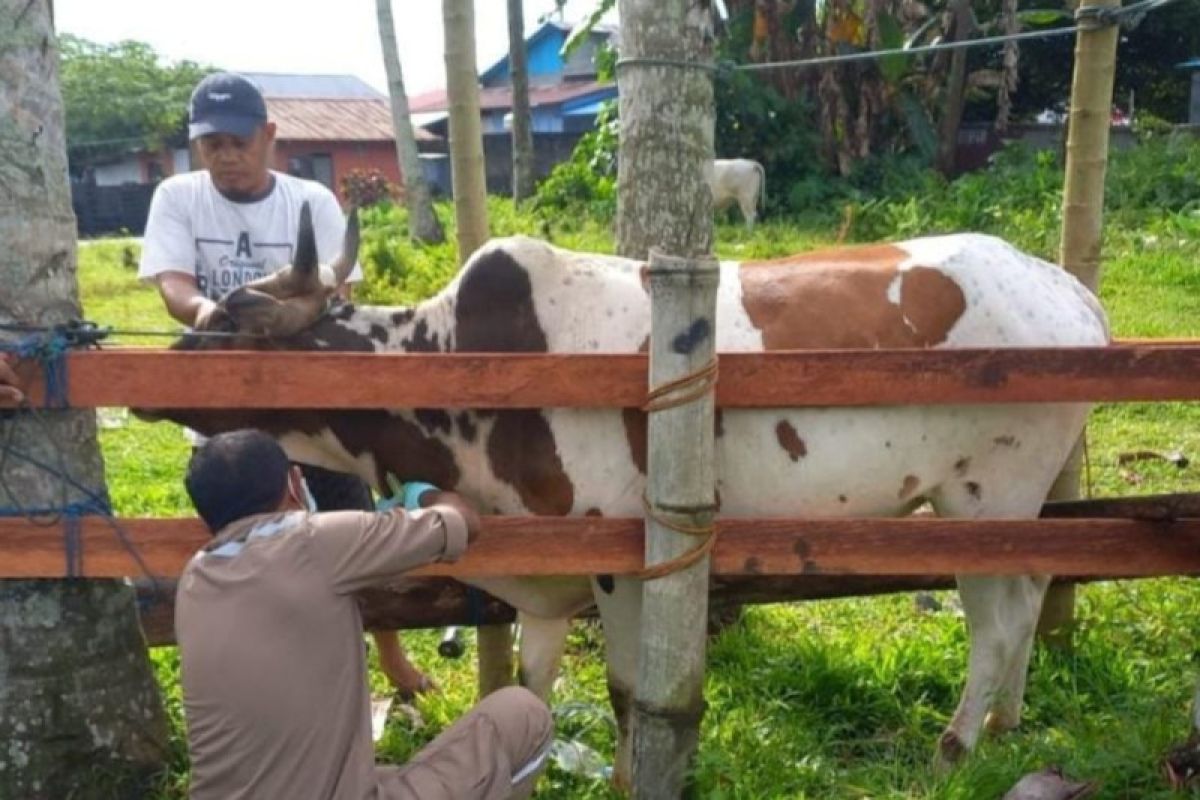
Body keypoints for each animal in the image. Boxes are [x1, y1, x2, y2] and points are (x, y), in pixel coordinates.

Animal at [147, 203, 1104, 786]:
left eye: (230, 323)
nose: (152, 379)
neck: (453, 362)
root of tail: (1070, 291)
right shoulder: (543, 577)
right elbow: (528, 688)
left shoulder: (618, 559)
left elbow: (621, 690)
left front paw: (622, 775)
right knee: (1027, 600)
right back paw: (1007, 724)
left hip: (983, 501)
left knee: (996, 622)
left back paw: (957, 744)